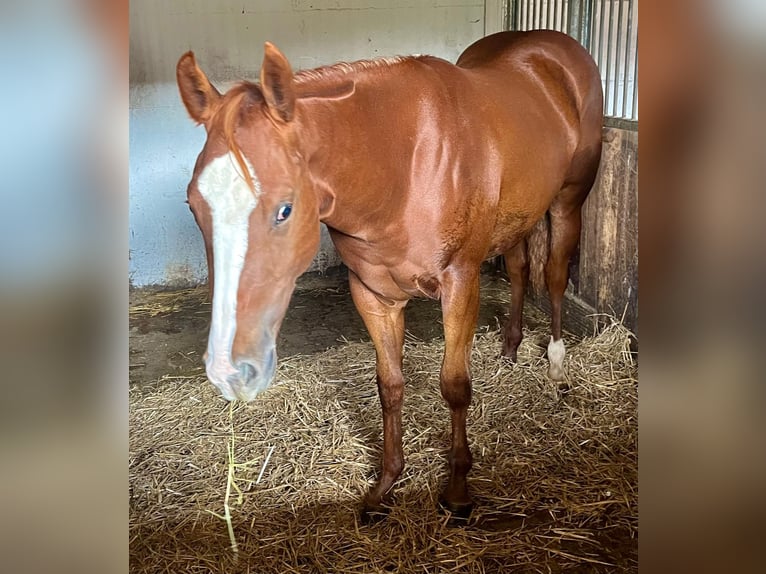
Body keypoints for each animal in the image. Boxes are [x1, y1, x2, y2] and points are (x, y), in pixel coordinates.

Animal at [176, 30, 603, 518]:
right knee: (517, 268)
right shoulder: (372, 294)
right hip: (517, 217)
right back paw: (511, 348)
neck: (404, 166)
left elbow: (455, 385)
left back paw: (556, 367)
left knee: (553, 276)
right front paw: (386, 485)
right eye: (193, 204)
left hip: (567, 203)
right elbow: (390, 385)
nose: (229, 369)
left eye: (284, 209)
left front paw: (457, 490)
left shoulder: (461, 284)